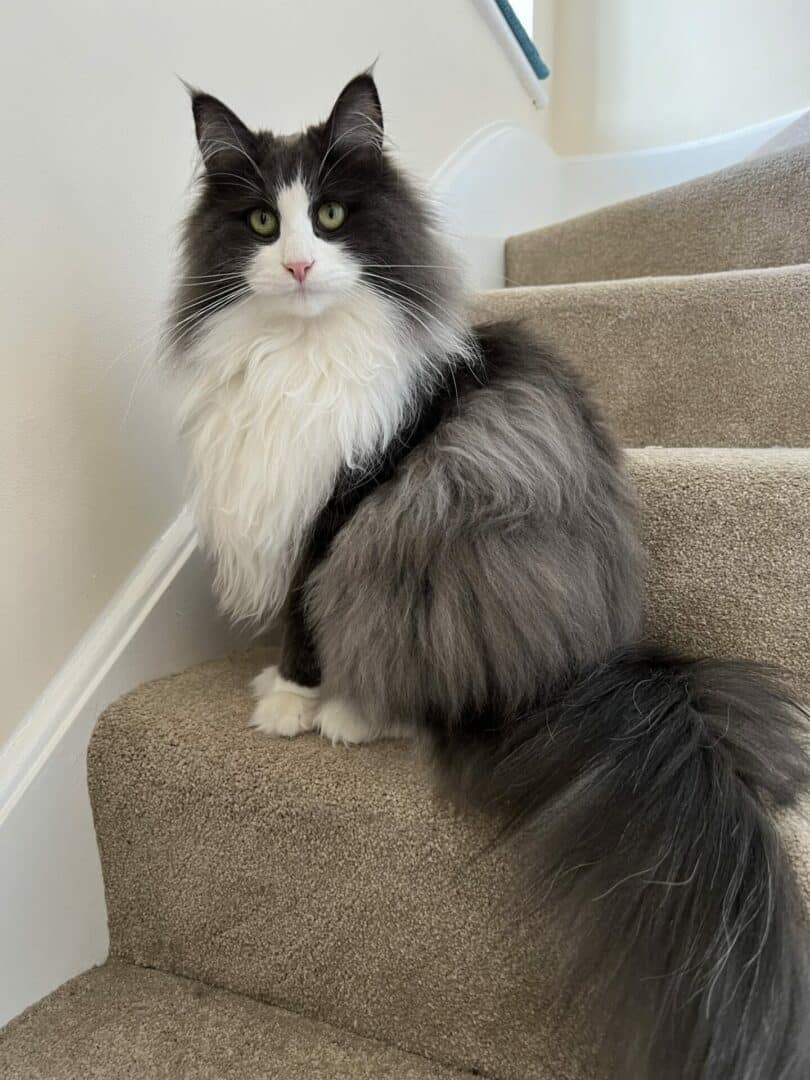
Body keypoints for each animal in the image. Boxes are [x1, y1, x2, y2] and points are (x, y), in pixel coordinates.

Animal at [166, 71, 810, 1075]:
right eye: (264, 225)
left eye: (332, 215)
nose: (300, 267)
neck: (300, 360)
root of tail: (596, 665)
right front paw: (281, 687)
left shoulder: (342, 509)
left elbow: (303, 616)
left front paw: (290, 700)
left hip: (415, 544)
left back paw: (352, 715)